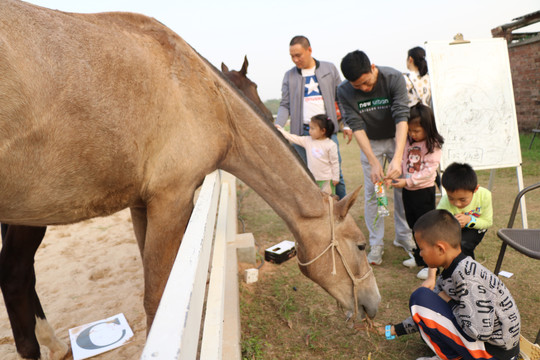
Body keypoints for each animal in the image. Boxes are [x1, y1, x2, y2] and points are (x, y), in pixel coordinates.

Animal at [0, 1, 380, 358]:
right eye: (361, 245)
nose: (372, 304)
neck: (205, 97)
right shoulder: (172, 199)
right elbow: (156, 299)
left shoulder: (142, 205)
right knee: (16, 276)